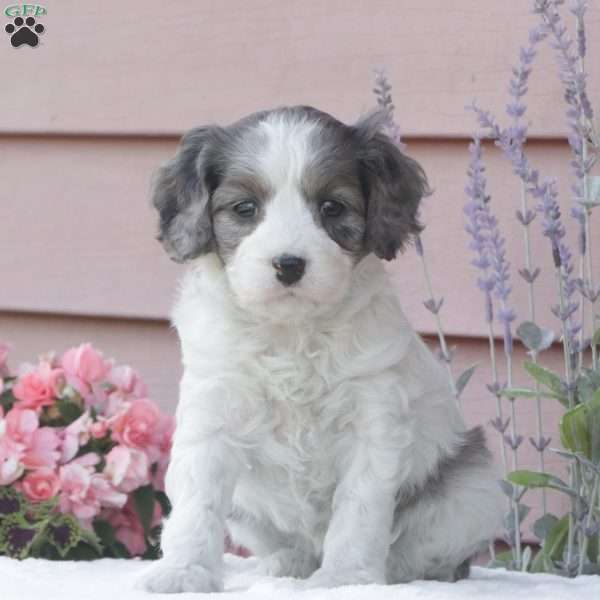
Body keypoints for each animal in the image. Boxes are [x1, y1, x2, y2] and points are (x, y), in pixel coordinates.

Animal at [139, 105, 502, 592]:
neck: (292, 333)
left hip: (473, 485)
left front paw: (346, 578)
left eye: (332, 207)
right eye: (245, 208)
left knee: (429, 552)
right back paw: (287, 563)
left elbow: (358, 511)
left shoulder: (373, 422)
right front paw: (182, 572)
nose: (289, 264)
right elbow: (197, 505)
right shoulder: (212, 415)